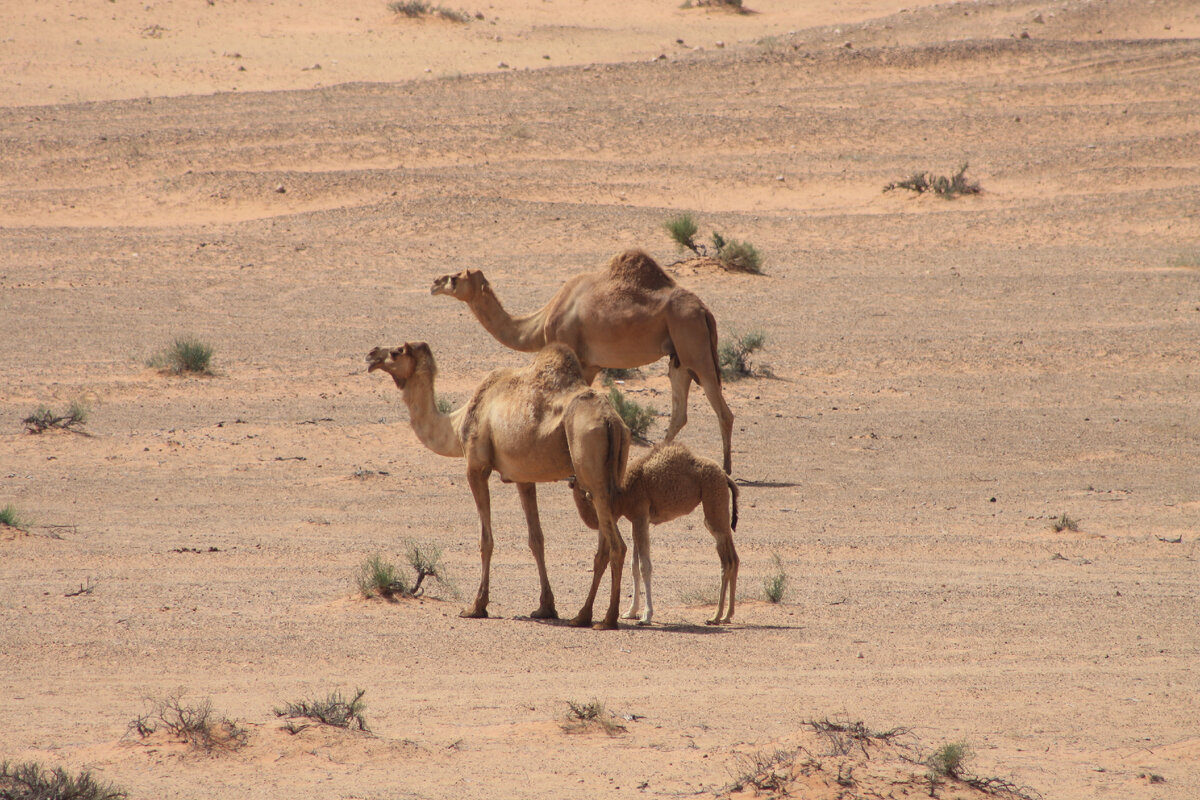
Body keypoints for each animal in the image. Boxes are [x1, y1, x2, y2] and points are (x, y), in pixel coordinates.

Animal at [364, 340, 633, 628]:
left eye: (396, 352)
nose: (371, 355)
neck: (457, 423)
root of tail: (612, 421)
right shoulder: (523, 477)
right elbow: (536, 539)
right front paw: (545, 607)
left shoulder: (476, 467)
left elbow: (486, 540)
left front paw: (476, 606)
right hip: (608, 477)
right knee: (603, 546)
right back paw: (582, 615)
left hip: (589, 460)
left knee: (617, 546)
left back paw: (607, 619)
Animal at [427, 250, 734, 472]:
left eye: (455, 278)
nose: (434, 282)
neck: (541, 322)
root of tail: (705, 310)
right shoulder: (590, 364)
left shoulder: (571, 352)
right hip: (679, 356)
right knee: (680, 409)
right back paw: (653, 459)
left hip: (694, 344)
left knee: (723, 410)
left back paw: (727, 467)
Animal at [564, 443, 739, 623]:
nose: (571, 480)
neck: (622, 492)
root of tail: (725, 476)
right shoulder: (637, 520)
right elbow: (634, 566)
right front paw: (631, 611)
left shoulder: (640, 515)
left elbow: (644, 566)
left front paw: (646, 615)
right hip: (718, 511)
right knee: (733, 558)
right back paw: (726, 615)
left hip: (714, 505)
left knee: (727, 559)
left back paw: (716, 616)